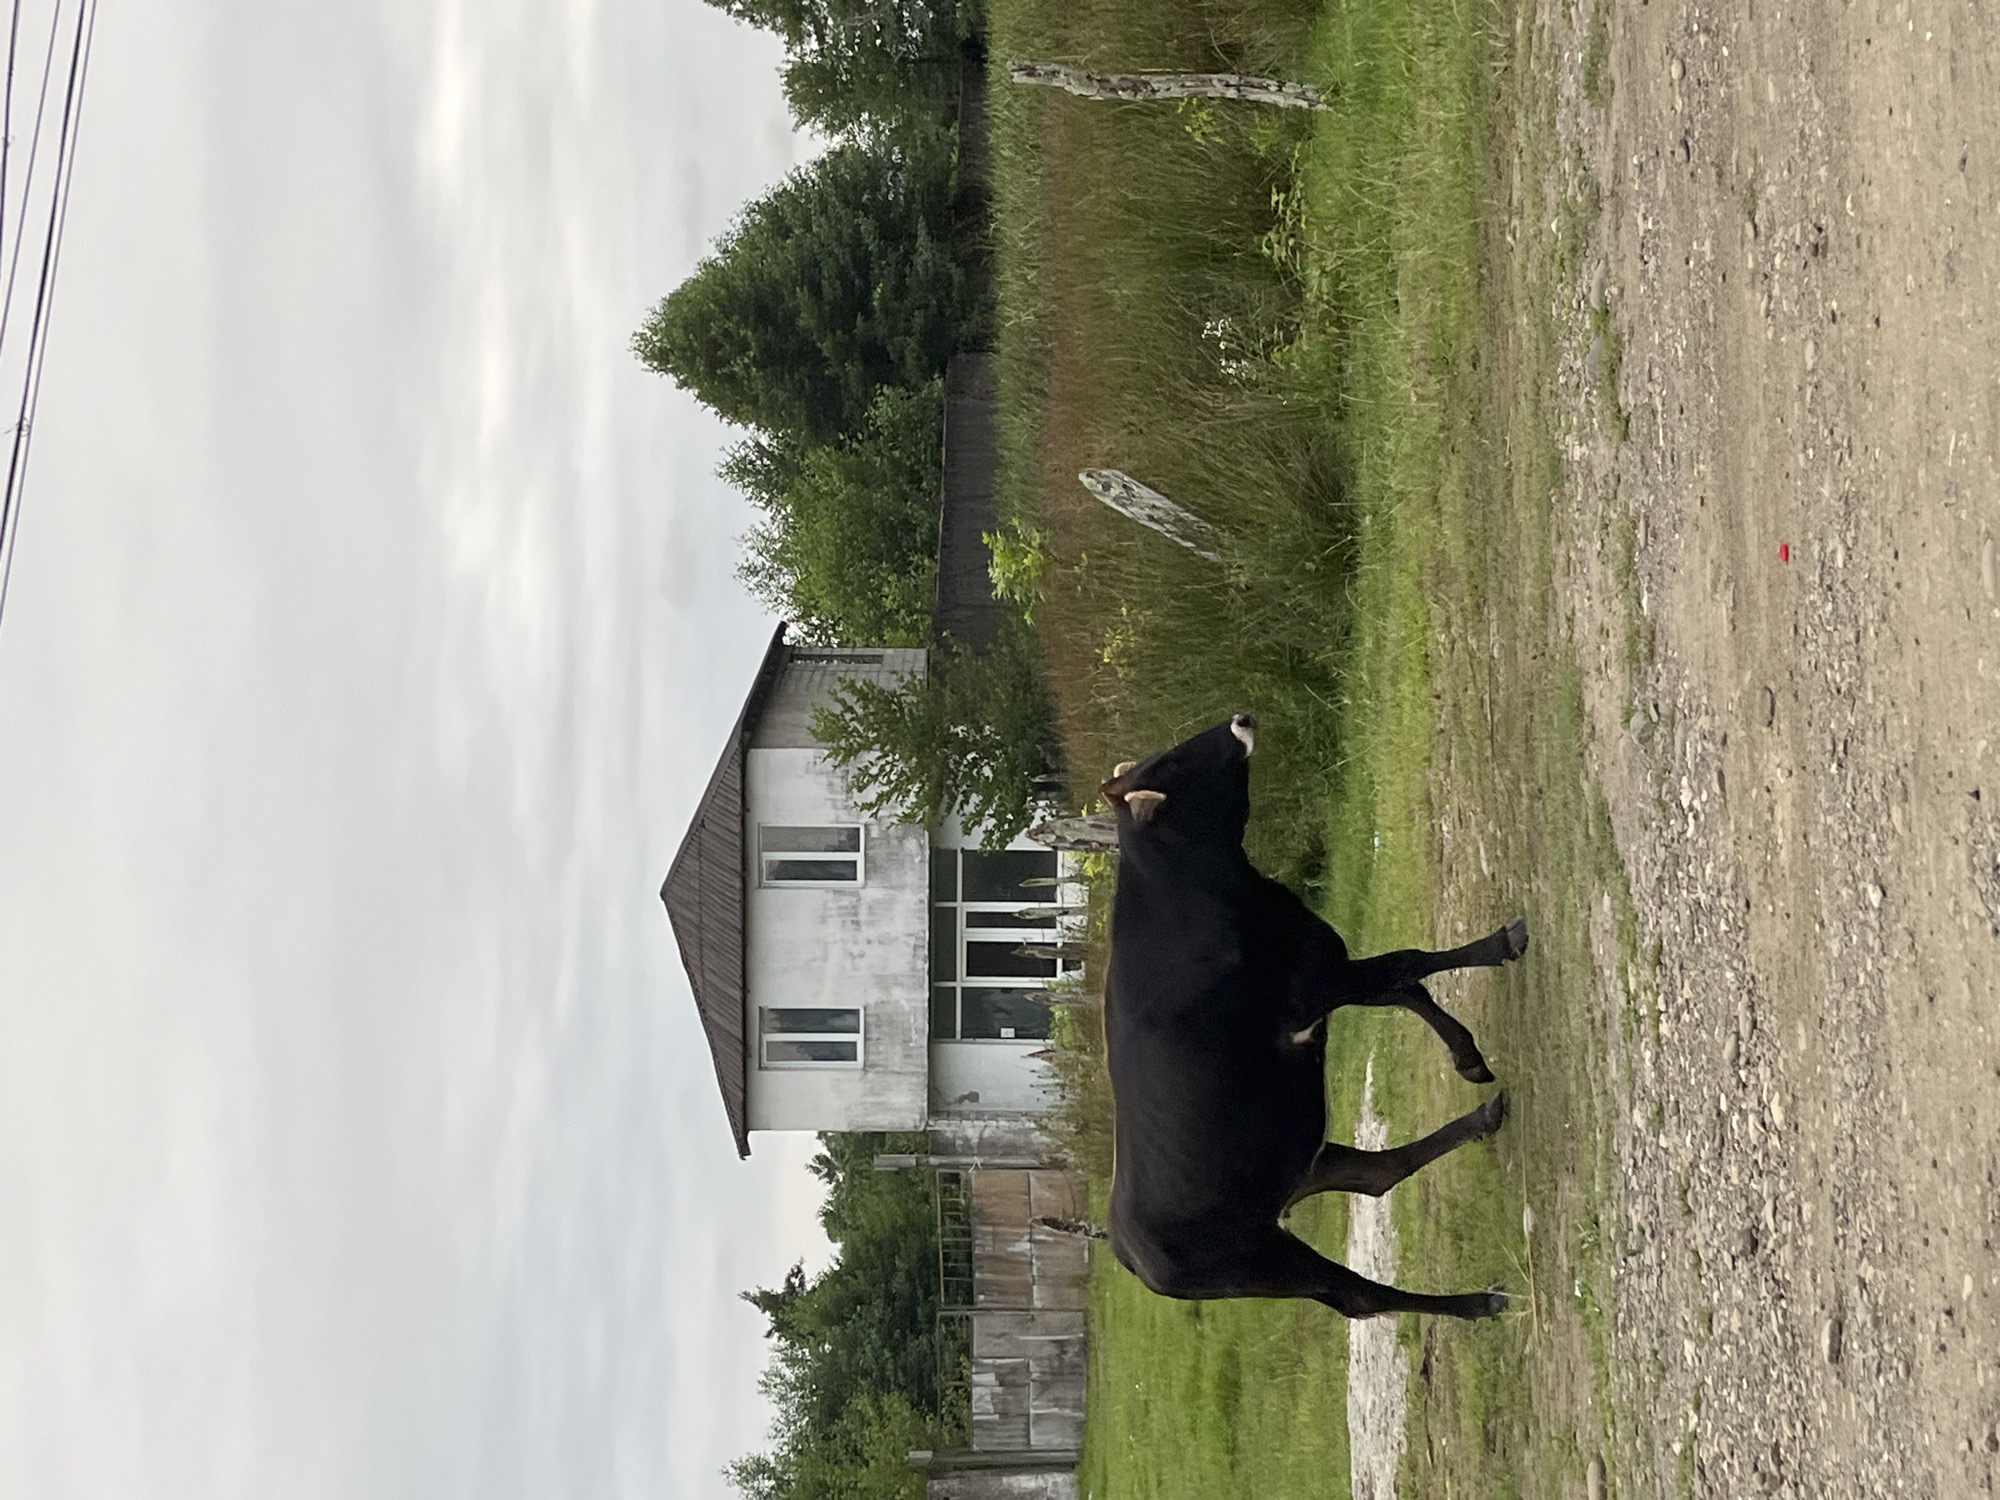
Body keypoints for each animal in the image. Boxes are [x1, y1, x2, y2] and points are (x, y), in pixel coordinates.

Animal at [1099, 714, 1526, 1320]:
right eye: (1175, 761)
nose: (1241, 718)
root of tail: (1127, 1250)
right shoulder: (1316, 986)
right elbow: (1409, 964)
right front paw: (1500, 945)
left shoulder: (1326, 971)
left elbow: (1406, 987)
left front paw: (1467, 1056)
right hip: (1266, 1260)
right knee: (1361, 1296)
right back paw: (1476, 1303)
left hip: (1301, 1165)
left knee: (1376, 1175)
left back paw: (1483, 1119)